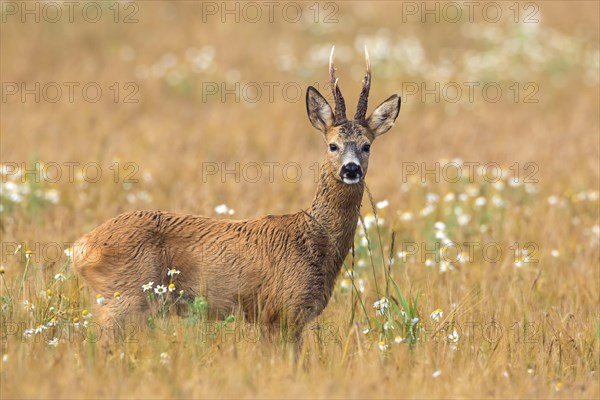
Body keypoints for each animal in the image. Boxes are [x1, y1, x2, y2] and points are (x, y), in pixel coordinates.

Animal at [74, 46, 404, 340]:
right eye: (332, 145)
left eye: (367, 145)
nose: (351, 169)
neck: (314, 240)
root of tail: (81, 247)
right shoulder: (280, 312)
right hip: (125, 296)